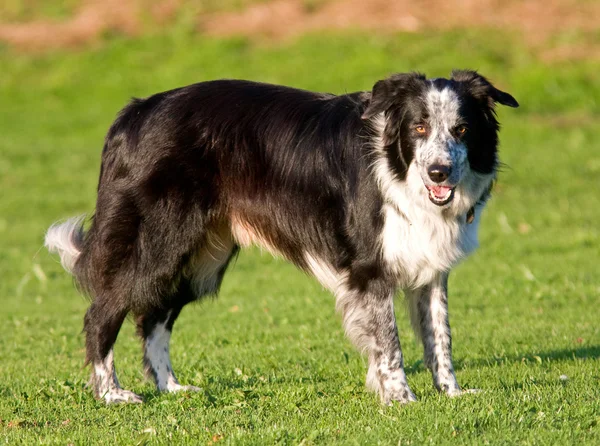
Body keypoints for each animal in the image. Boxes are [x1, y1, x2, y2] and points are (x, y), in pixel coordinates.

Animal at [45, 69, 516, 404]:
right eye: (419, 128)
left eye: (461, 130)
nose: (439, 172)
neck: (397, 165)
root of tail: (135, 111)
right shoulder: (369, 270)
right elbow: (390, 344)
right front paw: (401, 399)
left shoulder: (431, 268)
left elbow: (440, 337)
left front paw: (451, 393)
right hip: (157, 242)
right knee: (102, 312)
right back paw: (112, 393)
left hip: (201, 256)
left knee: (154, 315)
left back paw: (171, 388)